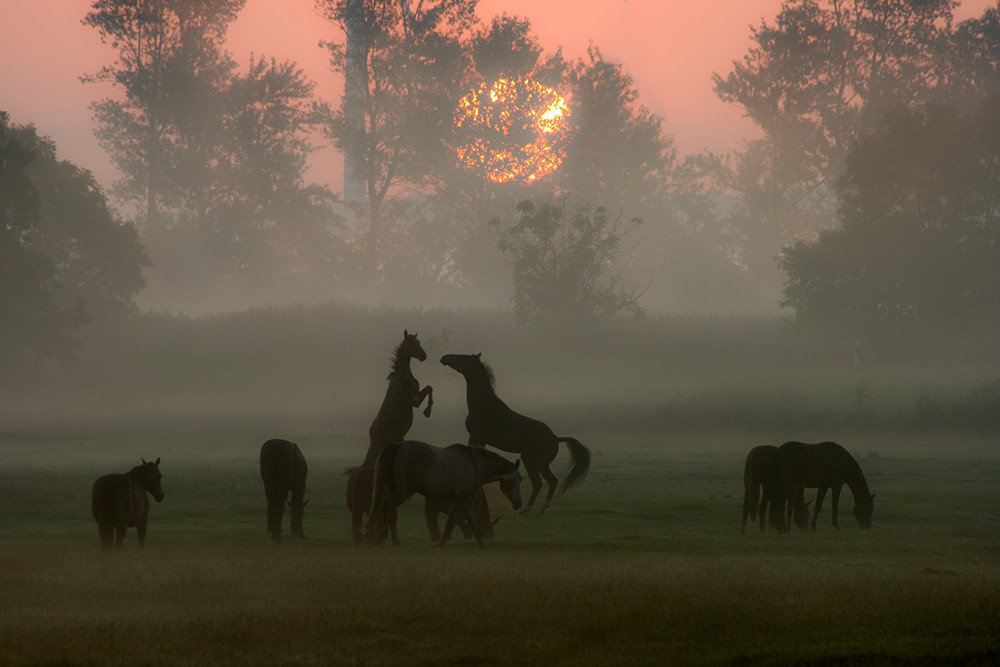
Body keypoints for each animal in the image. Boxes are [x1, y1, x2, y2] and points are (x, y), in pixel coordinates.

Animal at [346, 330, 432, 548]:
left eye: (419, 341)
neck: (403, 377)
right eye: (412, 343)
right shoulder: (410, 399)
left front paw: (428, 410)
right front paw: (427, 409)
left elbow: (429, 388)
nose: (424, 356)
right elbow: (421, 394)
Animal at [368, 444, 524, 548]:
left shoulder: (465, 502)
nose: (518, 503)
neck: (475, 465)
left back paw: (388, 540)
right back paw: (382, 538)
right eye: (519, 478)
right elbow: (454, 522)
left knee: (389, 511)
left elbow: (469, 523)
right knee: (387, 507)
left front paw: (480, 546)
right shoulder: (463, 500)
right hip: (403, 492)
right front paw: (442, 544)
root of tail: (397, 446)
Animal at [442, 352, 588, 516]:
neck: (483, 406)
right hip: (540, 463)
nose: (445, 358)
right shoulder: (480, 439)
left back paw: (527, 509)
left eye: (464, 358)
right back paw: (542, 508)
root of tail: (556, 438)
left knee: (540, 482)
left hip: (532, 460)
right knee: (551, 480)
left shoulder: (476, 436)